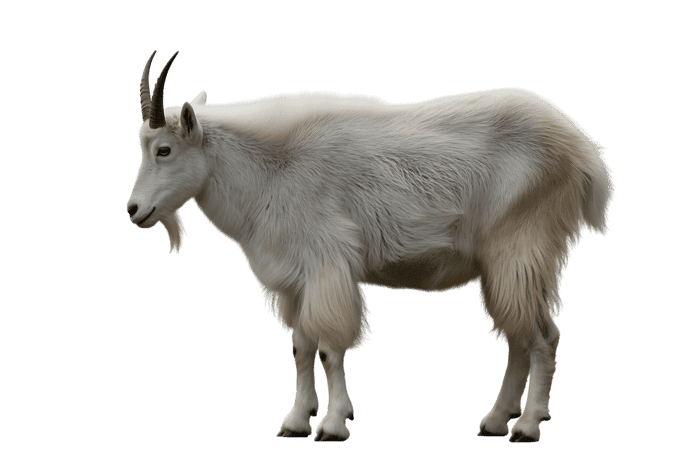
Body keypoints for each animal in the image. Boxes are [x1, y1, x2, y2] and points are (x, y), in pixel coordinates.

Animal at [127, 51, 614, 443]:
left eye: (164, 150)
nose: (134, 210)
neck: (271, 168)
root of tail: (582, 151)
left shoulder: (327, 264)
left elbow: (328, 347)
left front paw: (332, 424)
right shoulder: (296, 278)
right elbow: (300, 347)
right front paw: (295, 421)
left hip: (519, 246)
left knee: (542, 337)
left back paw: (526, 426)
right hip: (512, 263)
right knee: (519, 335)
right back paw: (496, 420)